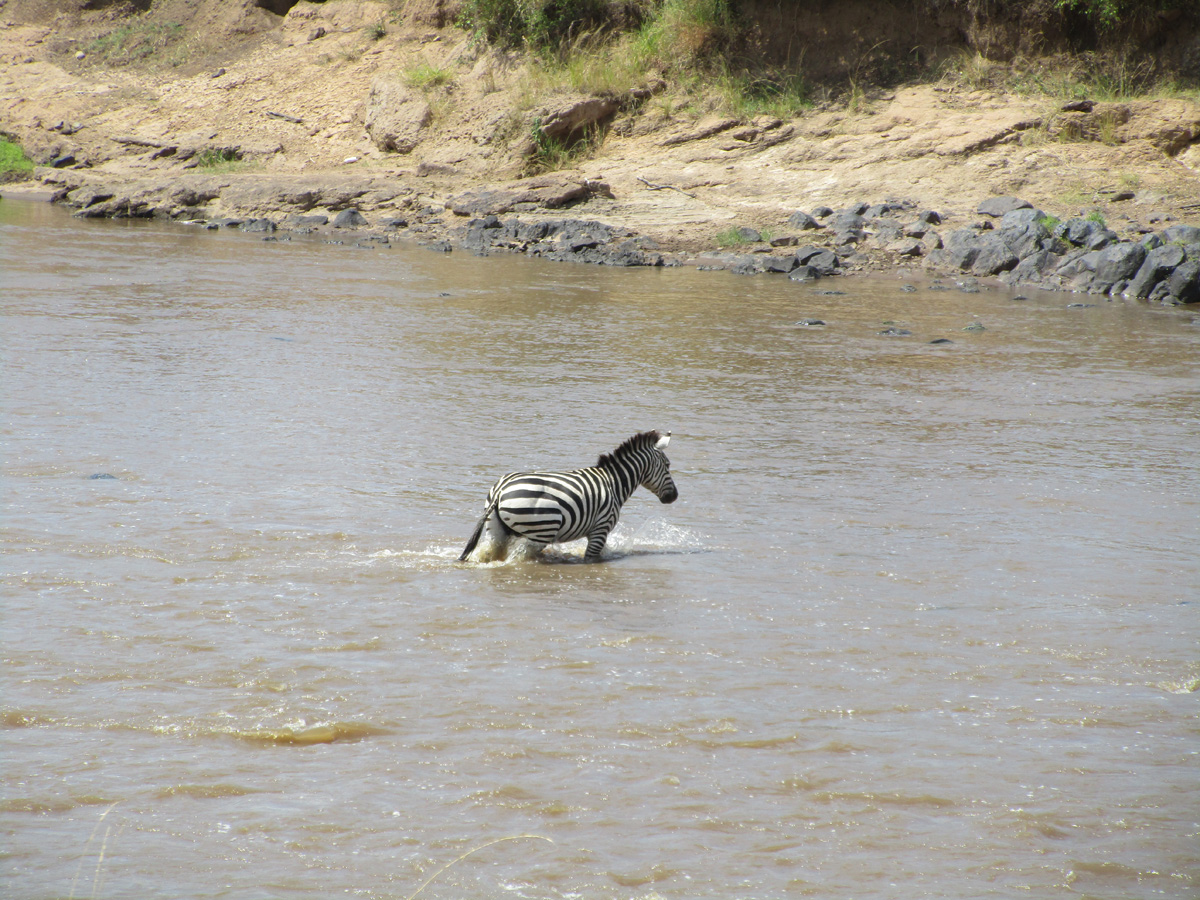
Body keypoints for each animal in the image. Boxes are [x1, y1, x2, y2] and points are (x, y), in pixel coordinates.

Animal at [459, 430, 678, 563]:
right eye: (668, 465)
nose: (674, 497)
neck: (614, 482)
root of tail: (501, 489)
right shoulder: (600, 529)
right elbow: (591, 558)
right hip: (541, 529)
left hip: (496, 531)